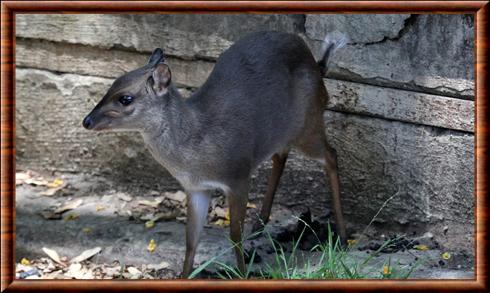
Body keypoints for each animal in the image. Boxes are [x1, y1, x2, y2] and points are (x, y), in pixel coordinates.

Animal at [84, 30, 350, 278]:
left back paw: (343, 238)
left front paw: (242, 274)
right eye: (112, 85)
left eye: (125, 98)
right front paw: (184, 276)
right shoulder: (196, 188)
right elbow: (191, 241)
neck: (197, 142)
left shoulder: (238, 176)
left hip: (308, 125)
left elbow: (234, 236)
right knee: (280, 156)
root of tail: (318, 66)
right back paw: (260, 223)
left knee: (331, 155)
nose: (87, 121)